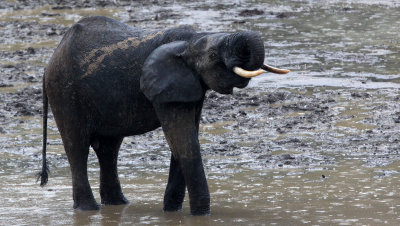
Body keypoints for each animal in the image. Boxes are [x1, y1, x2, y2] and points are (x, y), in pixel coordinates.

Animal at [36, 16, 288, 215]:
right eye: (213, 54)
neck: (192, 40)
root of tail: (49, 63)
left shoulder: (191, 85)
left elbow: (185, 140)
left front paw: (171, 212)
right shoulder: (163, 85)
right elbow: (183, 140)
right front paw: (200, 215)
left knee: (108, 149)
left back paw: (118, 204)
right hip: (65, 93)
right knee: (77, 147)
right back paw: (89, 209)